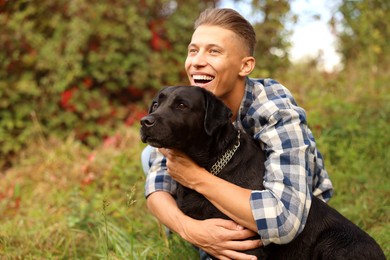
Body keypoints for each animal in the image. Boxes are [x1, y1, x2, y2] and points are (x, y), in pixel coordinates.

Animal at [139, 86, 384, 260]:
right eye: (155, 104)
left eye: (181, 105)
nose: (145, 121)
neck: (212, 166)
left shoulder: (246, 246)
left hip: (334, 243)